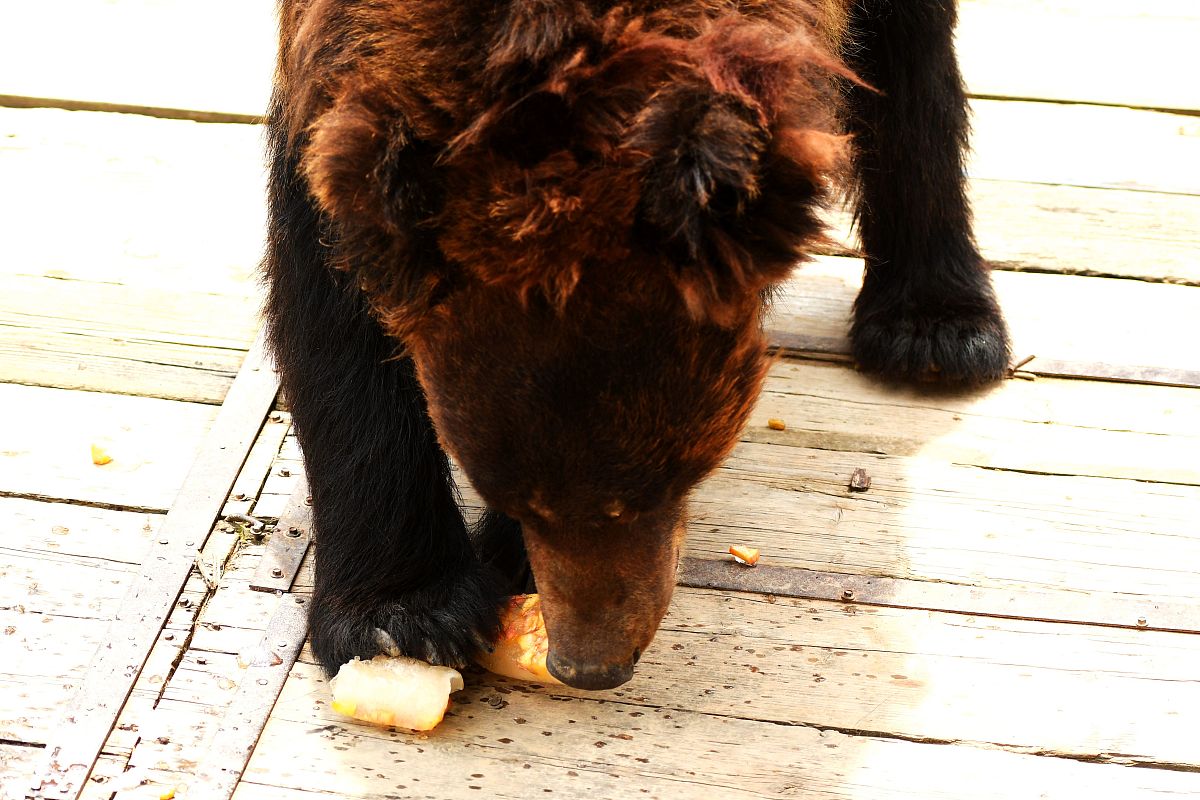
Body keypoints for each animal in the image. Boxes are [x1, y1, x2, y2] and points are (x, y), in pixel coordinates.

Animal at [264, 0, 1009, 690]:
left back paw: (938, 331)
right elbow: (330, 287)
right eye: (518, 494)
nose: (590, 666)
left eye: (669, 482)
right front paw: (406, 618)